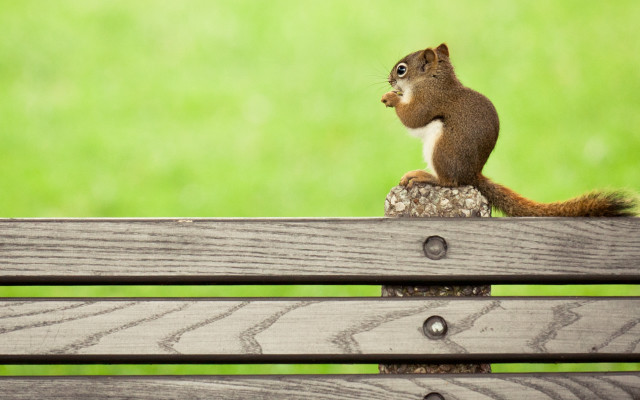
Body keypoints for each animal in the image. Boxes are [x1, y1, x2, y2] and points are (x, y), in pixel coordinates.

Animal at [381, 43, 636, 217]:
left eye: (401, 70)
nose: (390, 80)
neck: (434, 80)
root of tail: (472, 174)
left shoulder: (429, 100)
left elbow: (413, 118)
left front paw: (392, 98)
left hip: (442, 149)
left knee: (449, 182)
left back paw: (424, 176)